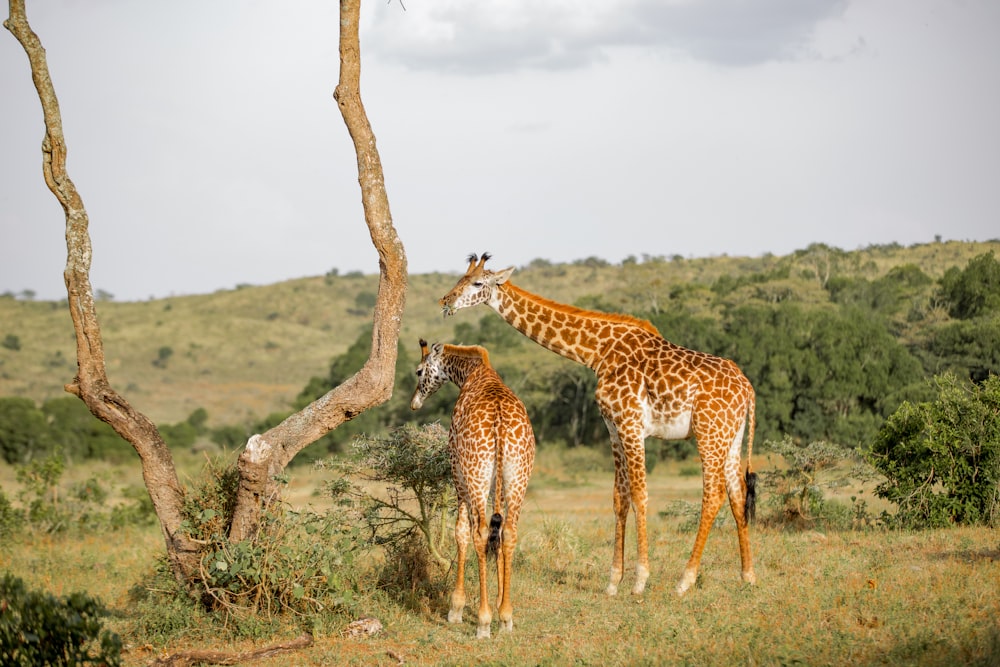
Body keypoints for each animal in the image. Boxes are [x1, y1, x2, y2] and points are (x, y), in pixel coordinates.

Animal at [408, 340, 536, 636]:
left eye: (419, 371)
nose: (414, 403)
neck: (471, 373)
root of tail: (500, 425)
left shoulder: (457, 472)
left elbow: (460, 531)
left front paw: (456, 608)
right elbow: (496, 534)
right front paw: (500, 605)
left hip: (474, 475)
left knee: (479, 533)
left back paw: (483, 621)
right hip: (518, 477)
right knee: (508, 532)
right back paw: (506, 616)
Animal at [440, 253, 756, 596]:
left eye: (477, 283)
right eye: (459, 278)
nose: (446, 301)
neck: (598, 352)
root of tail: (748, 389)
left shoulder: (631, 423)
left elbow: (641, 494)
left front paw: (640, 578)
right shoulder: (613, 426)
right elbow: (620, 498)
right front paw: (613, 580)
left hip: (708, 433)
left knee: (713, 495)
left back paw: (685, 579)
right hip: (731, 437)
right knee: (737, 493)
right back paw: (747, 574)